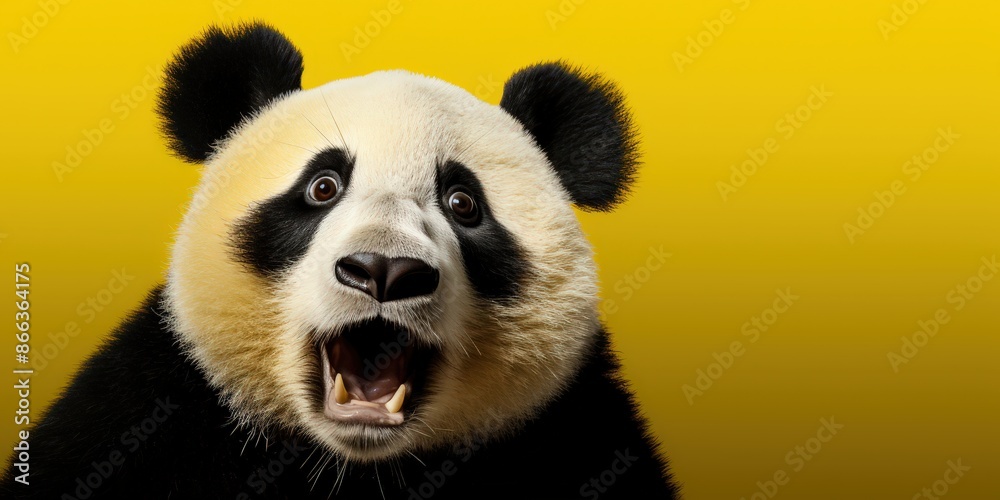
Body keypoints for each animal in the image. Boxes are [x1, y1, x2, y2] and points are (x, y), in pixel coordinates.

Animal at [2, 23, 679, 499]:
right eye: (322, 186)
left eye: (463, 203)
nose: (384, 270)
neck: (356, 465)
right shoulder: (152, 410)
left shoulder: (571, 431)